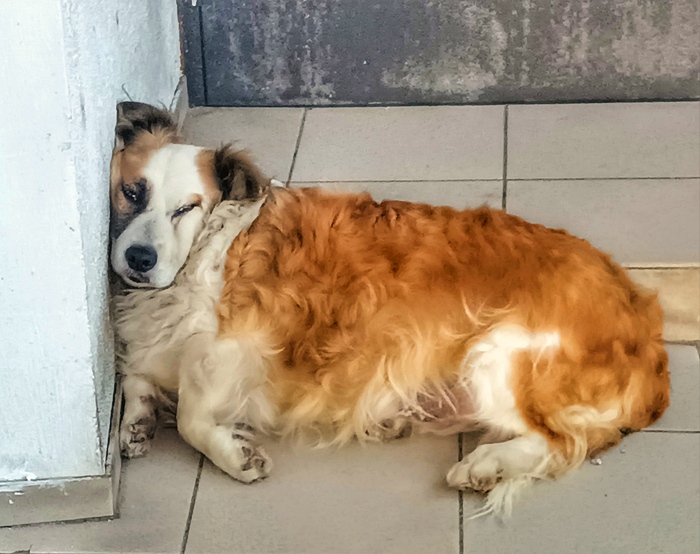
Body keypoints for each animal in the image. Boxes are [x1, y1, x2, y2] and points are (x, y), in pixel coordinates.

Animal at [111, 102, 669, 516]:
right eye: (132, 192)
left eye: (187, 207)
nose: (139, 258)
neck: (211, 246)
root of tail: (646, 322)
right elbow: (135, 373)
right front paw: (136, 418)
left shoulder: (237, 345)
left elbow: (191, 414)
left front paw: (233, 453)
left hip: (499, 351)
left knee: (558, 442)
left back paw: (484, 465)